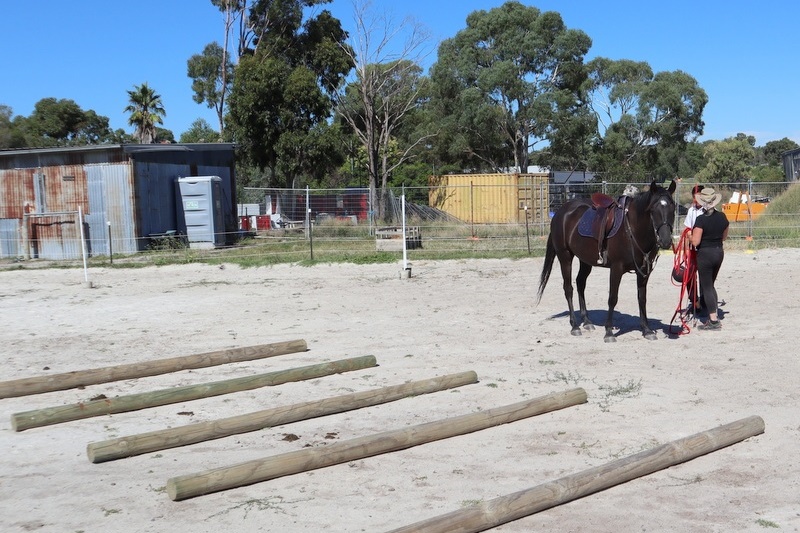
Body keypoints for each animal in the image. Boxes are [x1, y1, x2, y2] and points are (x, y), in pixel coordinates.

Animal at [536, 180, 676, 340]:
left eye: (673, 207)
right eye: (653, 209)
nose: (665, 241)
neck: (632, 230)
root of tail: (560, 213)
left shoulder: (644, 271)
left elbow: (642, 298)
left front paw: (647, 330)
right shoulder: (616, 268)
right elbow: (612, 298)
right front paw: (609, 332)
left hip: (585, 260)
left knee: (580, 283)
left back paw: (586, 321)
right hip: (565, 256)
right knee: (568, 288)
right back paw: (575, 326)